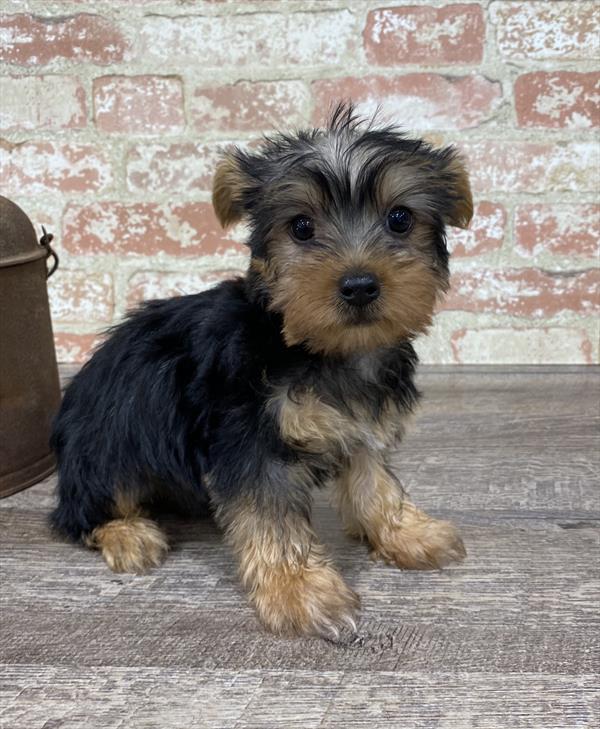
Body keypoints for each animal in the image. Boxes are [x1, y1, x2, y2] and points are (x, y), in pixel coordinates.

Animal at [50, 104, 474, 636]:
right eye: (301, 227)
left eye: (400, 219)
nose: (359, 285)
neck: (319, 348)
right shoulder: (249, 439)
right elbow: (271, 516)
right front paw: (300, 590)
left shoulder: (360, 425)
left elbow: (374, 481)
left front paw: (406, 532)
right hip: (111, 443)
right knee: (83, 507)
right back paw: (127, 534)